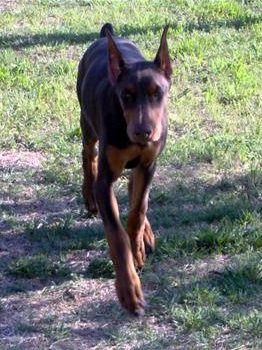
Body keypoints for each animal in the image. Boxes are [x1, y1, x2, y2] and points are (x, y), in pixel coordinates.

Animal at [77, 23, 172, 316]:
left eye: (157, 93)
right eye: (125, 96)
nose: (143, 132)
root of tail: (107, 35)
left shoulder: (148, 164)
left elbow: (138, 211)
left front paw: (138, 247)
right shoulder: (106, 180)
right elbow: (116, 235)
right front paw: (129, 292)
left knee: (134, 190)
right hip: (87, 124)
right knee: (88, 156)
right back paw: (88, 197)